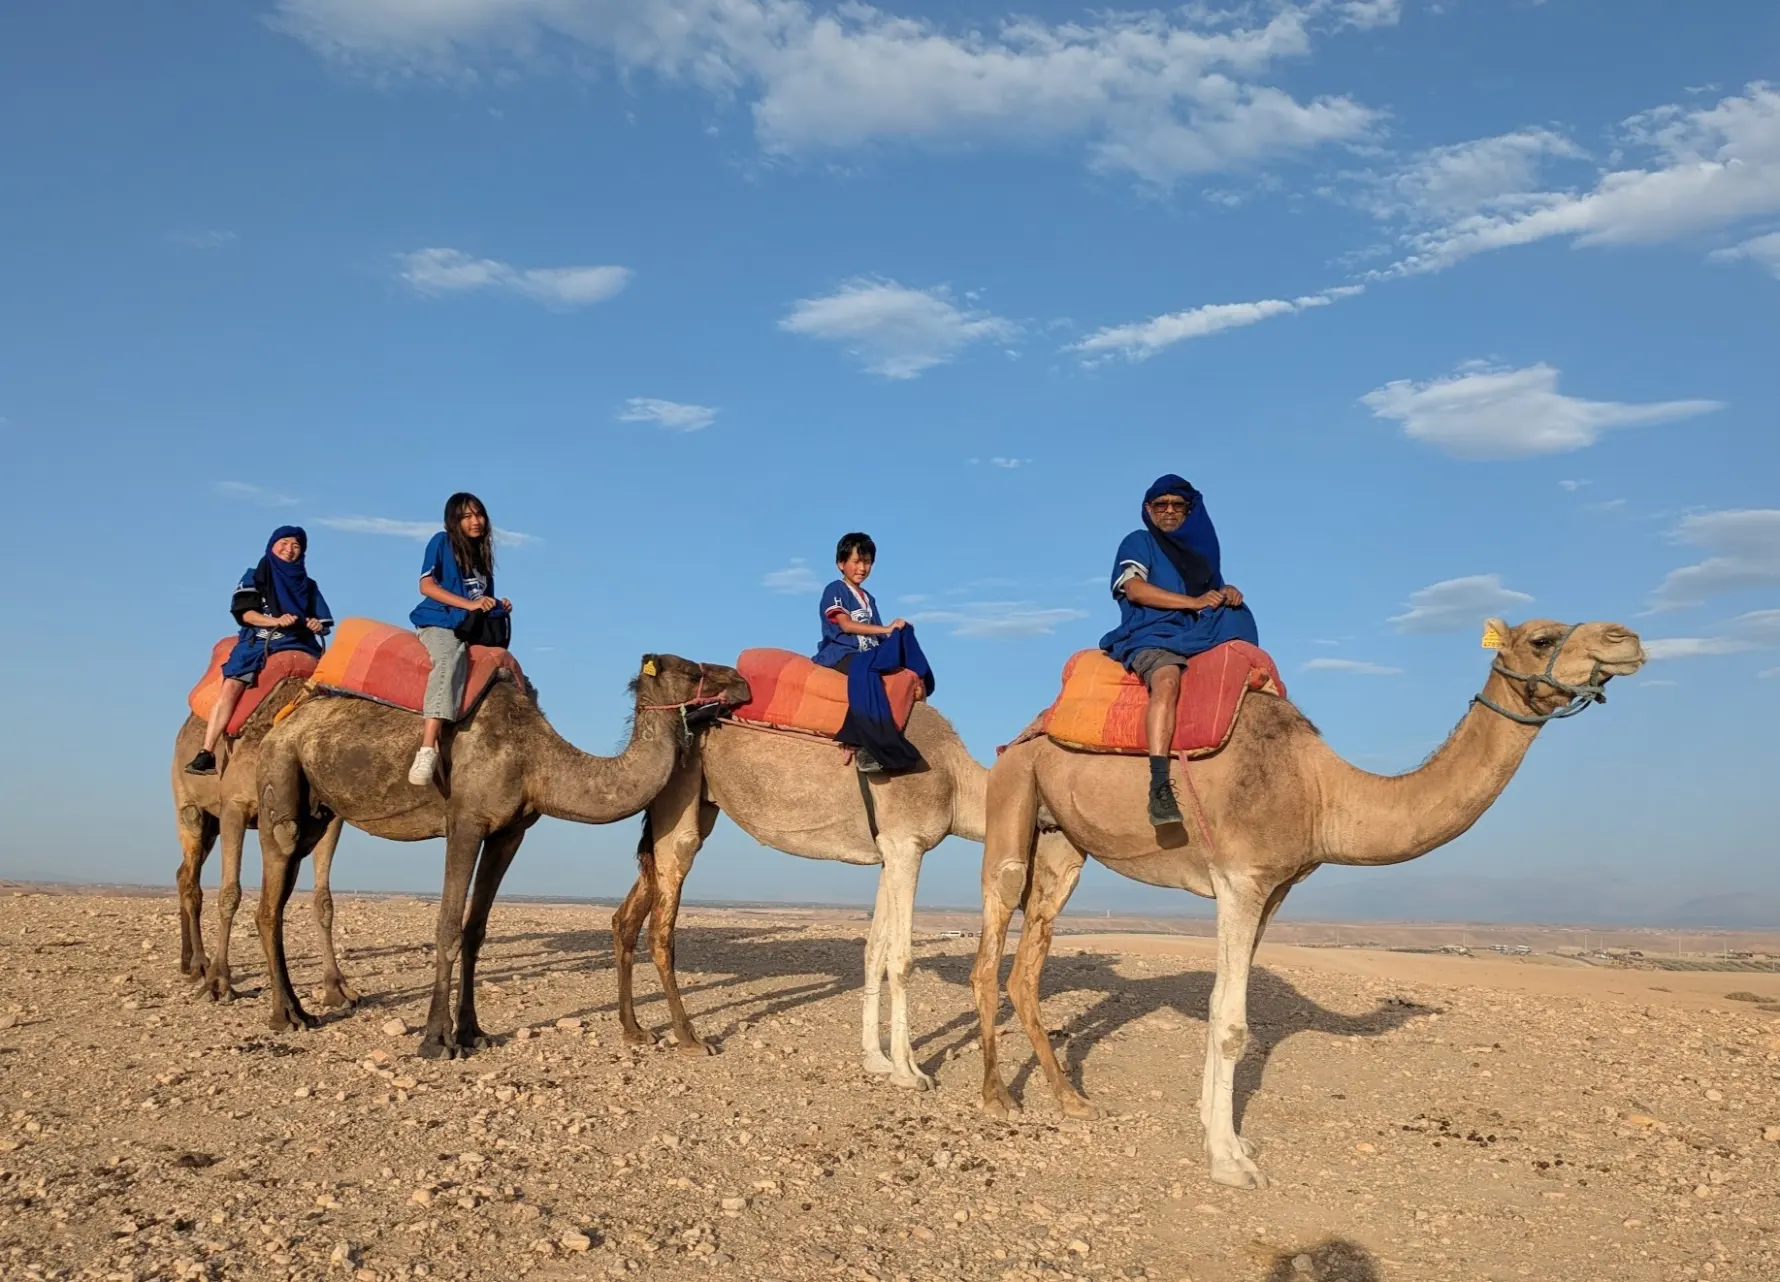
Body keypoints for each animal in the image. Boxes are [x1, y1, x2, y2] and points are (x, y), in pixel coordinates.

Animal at [171, 677, 354, 1006]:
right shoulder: (234, 806)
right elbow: (230, 893)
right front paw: (219, 982)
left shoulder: (327, 821)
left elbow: (323, 901)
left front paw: (337, 987)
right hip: (189, 806)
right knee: (191, 877)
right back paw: (201, 965)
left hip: (212, 826)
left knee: (183, 873)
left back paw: (188, 962)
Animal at [255, 653, 749, 1058]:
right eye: (689, 668)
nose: (742, 682)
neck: (535, 760)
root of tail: (279, 725)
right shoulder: (466, 822)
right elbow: (448, 926)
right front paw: (437, 1040)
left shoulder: (510, 833)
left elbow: (475, 930)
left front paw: (473, 1032)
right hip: (280, 774)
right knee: (270, 898)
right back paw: (287, 1015)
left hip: (318, 810)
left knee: (280, 891)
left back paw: (298, 1008)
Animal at [612, 701, 983, 1089]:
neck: (956, 780)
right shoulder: (906, 843)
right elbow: (901, 960)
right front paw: (909, 1072)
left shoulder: (888, 852)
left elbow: (874, 953)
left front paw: (876, 1059)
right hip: (679, 794)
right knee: (666, 900)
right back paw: (689, 1040)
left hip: (696, 803)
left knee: (629, 911)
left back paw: (635, 1030)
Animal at [971, 618, 1645, 1189]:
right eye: (1541, 638)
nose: (1627, 638)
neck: (1321, 791)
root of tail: (1026, 732)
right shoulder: (1241, 878)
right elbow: (1231, 1023)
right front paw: (1229, 1164)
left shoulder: (1275, 888)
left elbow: (1222, 1006)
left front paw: (1226, 1140)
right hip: (1014, 794)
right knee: (989, 951)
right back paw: (997, 1098)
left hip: (1064, 845)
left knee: (1028, 966)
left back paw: (1071, 1099)